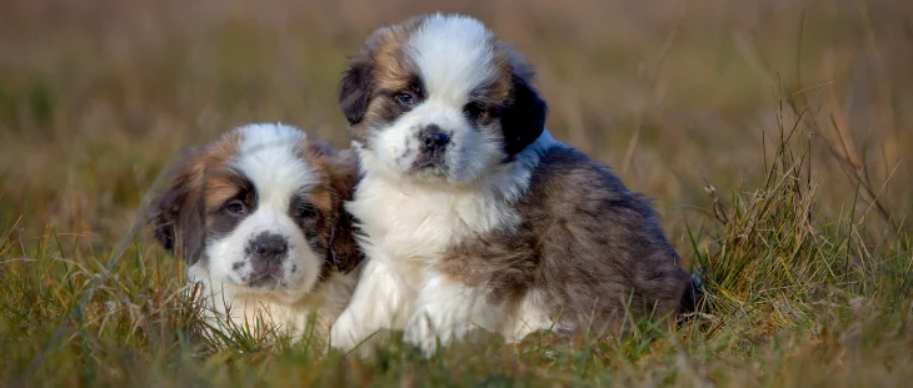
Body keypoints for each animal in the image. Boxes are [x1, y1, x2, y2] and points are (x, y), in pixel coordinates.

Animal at [332, 13, 696, 354]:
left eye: (474, 110)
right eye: (406, 97)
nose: (436, 137)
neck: (428, 193)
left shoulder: (477, 259)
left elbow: (437, 315)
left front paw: (418, 353)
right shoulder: (391, 255)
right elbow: (370, 305)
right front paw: (340, 349)